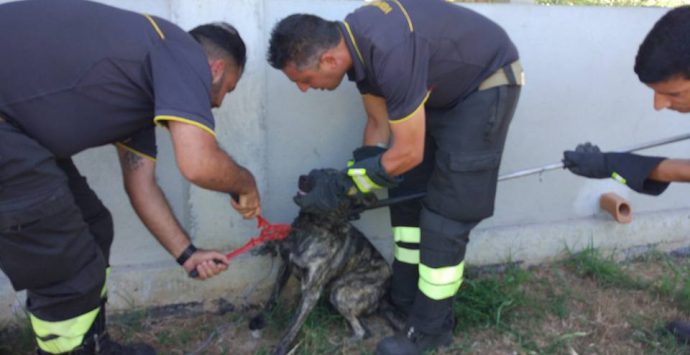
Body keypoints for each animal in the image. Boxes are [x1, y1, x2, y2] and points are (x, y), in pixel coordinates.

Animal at [250, 170, 392, 355]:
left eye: (338, 186)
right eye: (317, 171)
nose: (303, 178)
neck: (311, 226)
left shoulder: (311, 292)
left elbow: (293, 327)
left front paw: (281, 348)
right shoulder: (286, 263)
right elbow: (273, 296)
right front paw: (261, 318)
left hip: (340, 292)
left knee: (363, 332)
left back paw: (338, 346)